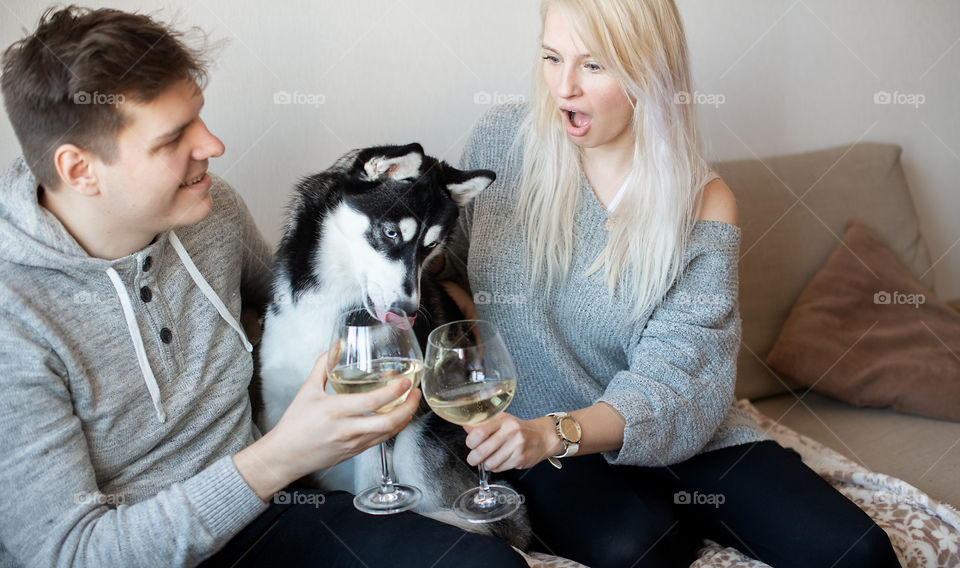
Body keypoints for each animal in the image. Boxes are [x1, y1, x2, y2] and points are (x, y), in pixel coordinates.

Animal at [258, 143, 532, 552]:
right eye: (389, 232)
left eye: (430, 246)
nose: (408, 312)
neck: (334, 304)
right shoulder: (279, 407)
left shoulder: (381, 427)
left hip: (419, 438)